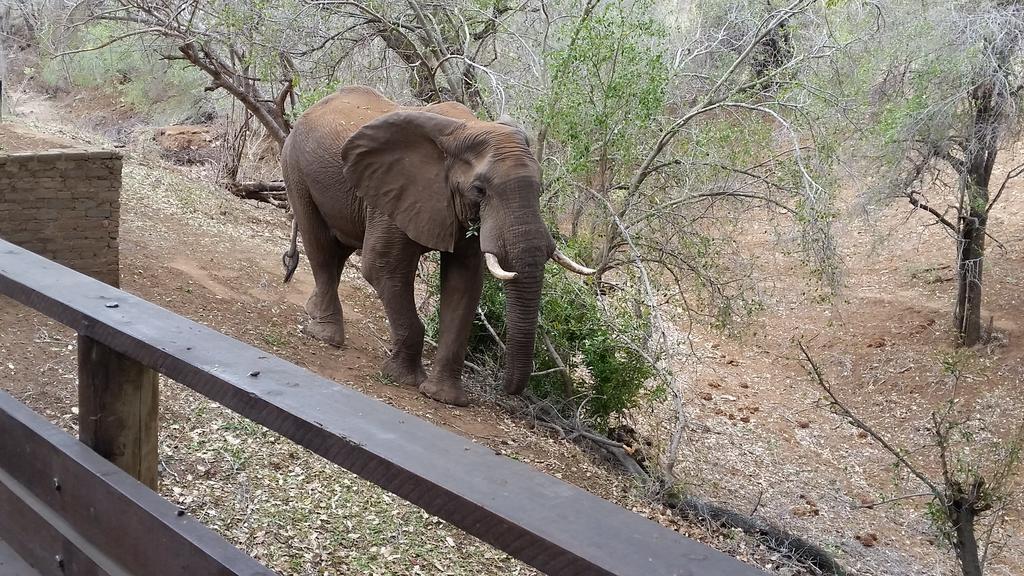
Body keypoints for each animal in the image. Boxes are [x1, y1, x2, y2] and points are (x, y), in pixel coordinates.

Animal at [280, 87, 593, 405]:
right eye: (479, 190)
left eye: (539, 189)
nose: (506, 388)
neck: (468, 129)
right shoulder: (396, 192)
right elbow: (383, 267)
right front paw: (403, 379)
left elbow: (464, 283)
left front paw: (444, 397)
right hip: (295, 166)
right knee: (320, 244)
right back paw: (325, 336)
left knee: (340, 248)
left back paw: (313, 313)